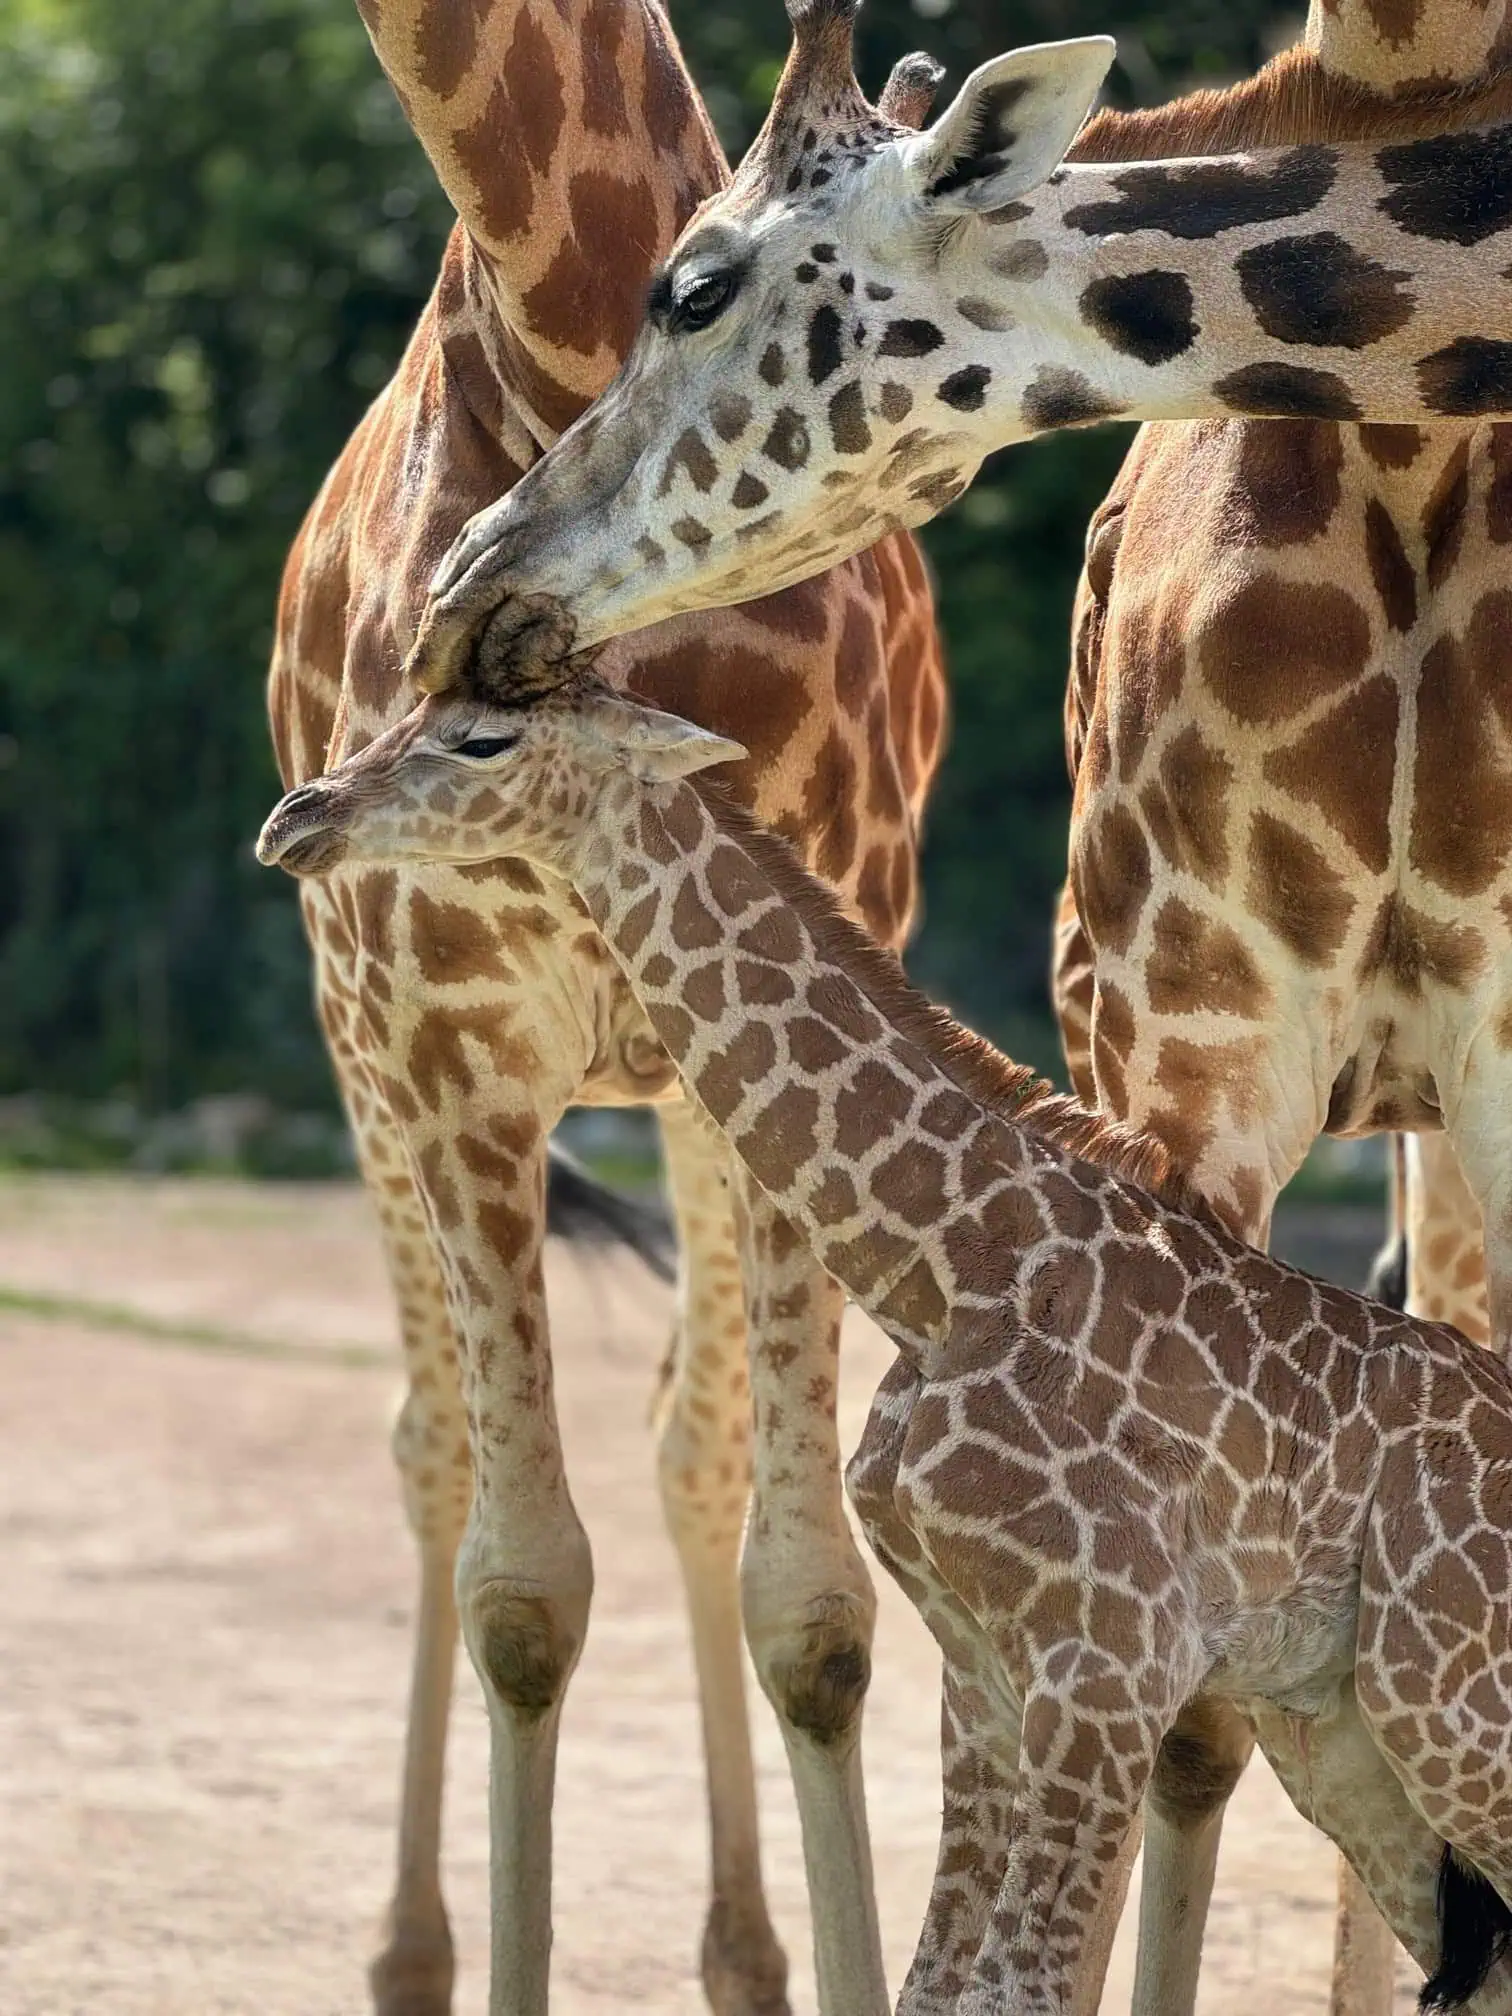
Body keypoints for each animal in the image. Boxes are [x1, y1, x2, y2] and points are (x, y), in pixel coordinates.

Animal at [264, 677, 1512, 2016]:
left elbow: (1019, 1984)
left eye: (481, 739)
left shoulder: (1112, 1655)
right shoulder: (987, 1669)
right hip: (1346, 1739)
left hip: (1446, 1704)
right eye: (412, 705)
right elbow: (945, 1984)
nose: (300, 816)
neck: (951, 1263)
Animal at [266, 3, 943, 2016]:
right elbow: (522, 1591)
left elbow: (812, 1601)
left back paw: (743, 1950)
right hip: (363, 1070)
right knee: (433, 1455)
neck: (554, 314)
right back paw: (410, 1951)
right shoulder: (442, 1035)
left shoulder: (808, 974)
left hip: (688, 1102)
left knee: (689, 1452)